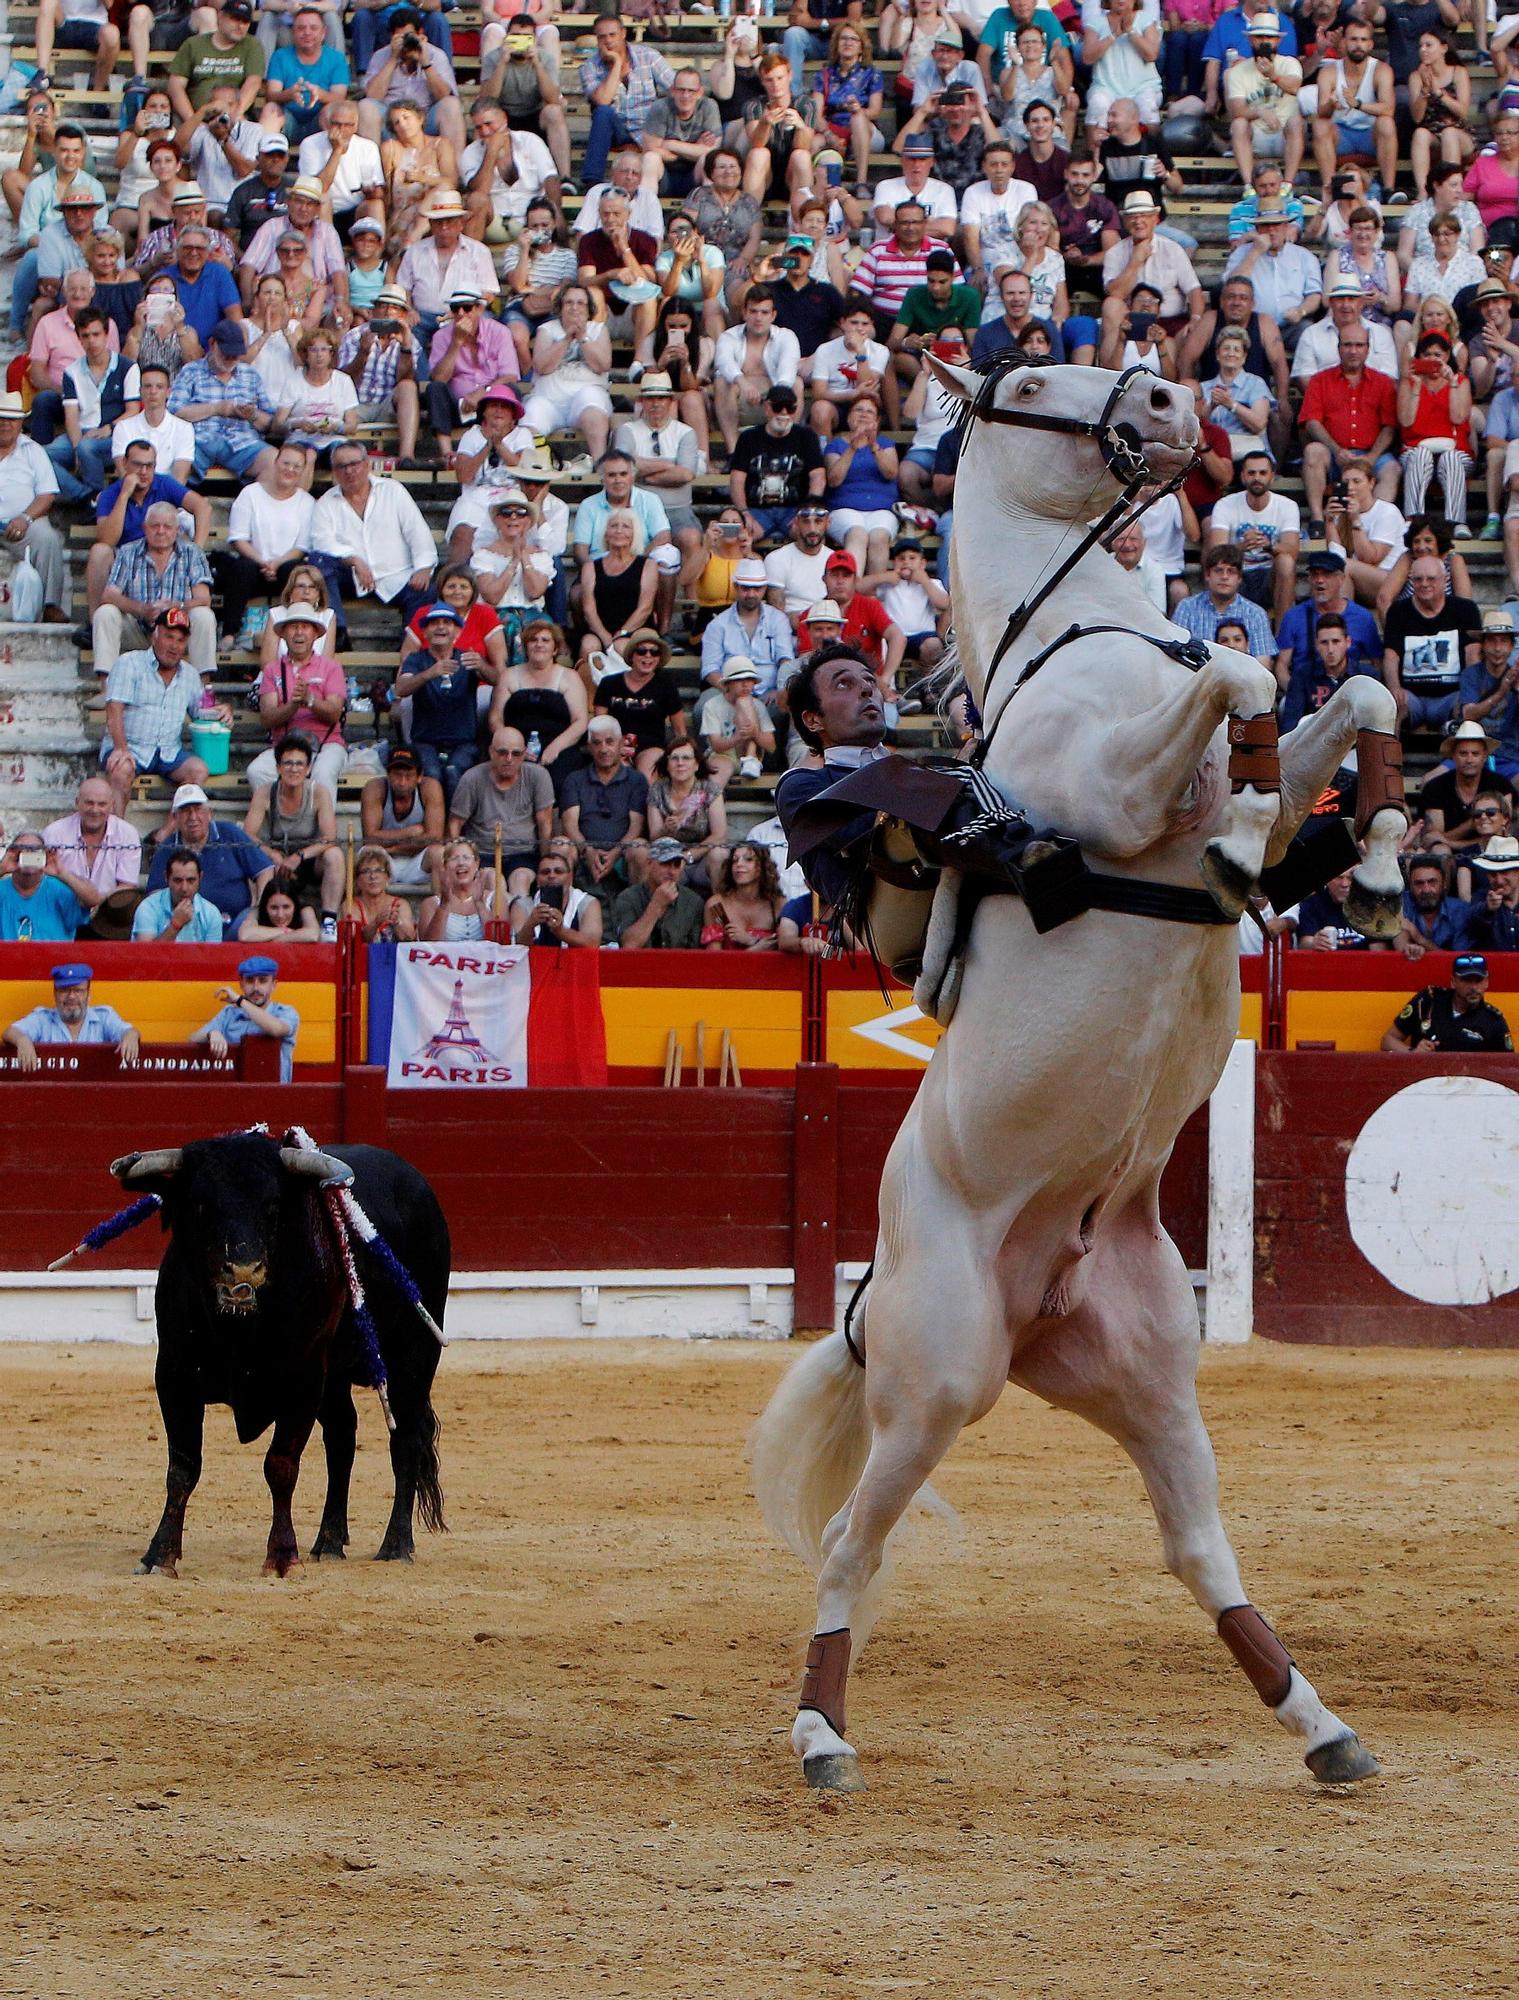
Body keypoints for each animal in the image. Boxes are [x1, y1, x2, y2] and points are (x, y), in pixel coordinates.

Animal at [111, 1136, 451, 1568]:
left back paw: (395, 1545)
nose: (243, 1273)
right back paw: (329, 1542)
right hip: (335, 1378)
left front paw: (283, 1554)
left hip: (414, 1354)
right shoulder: (174, 1375)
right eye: (200, 1203)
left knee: (405, 1438)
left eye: (272, 1206)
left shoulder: (302, 1380)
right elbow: (183, 1467)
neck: (240, 1329)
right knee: (341, 1437)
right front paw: (160, 1555)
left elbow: (281, 1465)